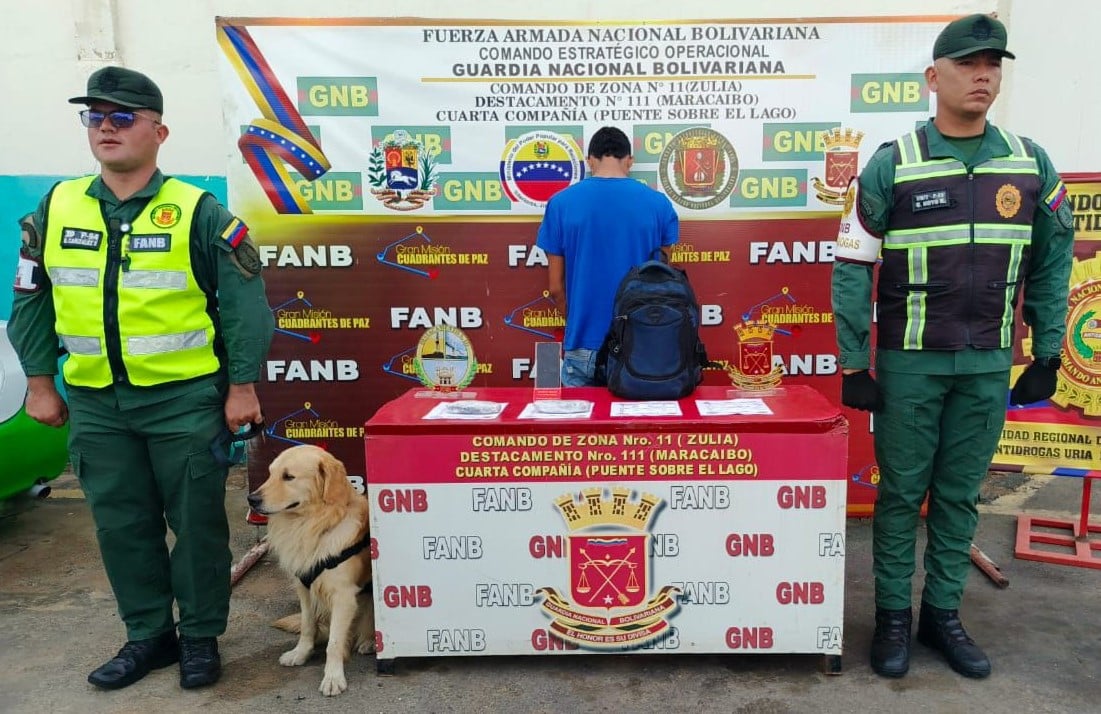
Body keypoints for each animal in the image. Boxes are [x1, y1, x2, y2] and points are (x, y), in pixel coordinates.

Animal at [245, 444, 374, 695]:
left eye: (288, 476)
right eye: (270, 473)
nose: (252, 499)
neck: (311, 524)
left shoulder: (343, 596)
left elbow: (334, 642)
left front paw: (333, 677)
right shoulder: (304, 588)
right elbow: (307, 625)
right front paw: (300, 653)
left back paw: (369, 641)